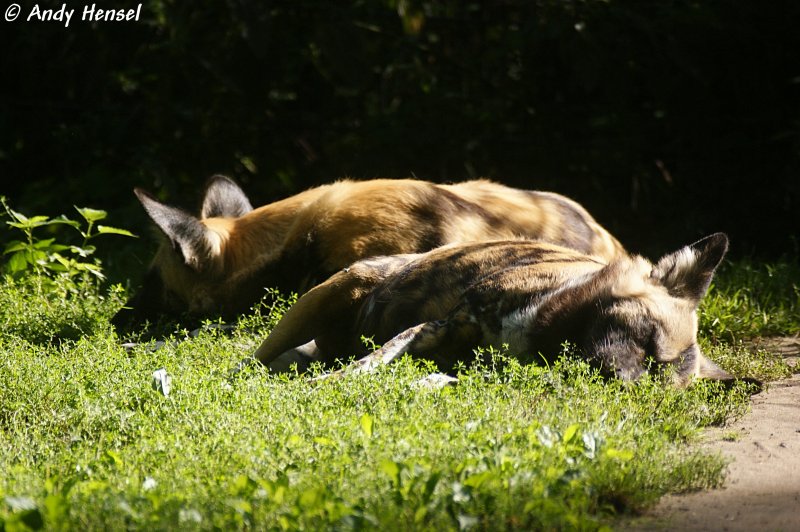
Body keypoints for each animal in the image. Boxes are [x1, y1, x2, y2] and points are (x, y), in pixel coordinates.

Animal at [247, 233, 736, 386]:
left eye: (657, 382)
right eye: (648, 339)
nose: (625, 384)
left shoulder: (464, 364)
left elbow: (433, 379)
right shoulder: (440, 324)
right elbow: (367, 365)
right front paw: (325, 386)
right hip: (333, 293)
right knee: (254, 358)